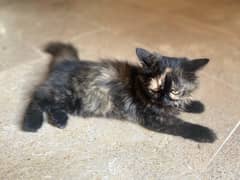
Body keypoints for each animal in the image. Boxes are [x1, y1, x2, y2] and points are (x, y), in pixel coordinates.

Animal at [23, 41, 218, 143]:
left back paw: (60, 120)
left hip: (69, 101)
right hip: (65, 94)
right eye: (154, 89)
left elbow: (183, 104)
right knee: (36, 99)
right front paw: (206, 133)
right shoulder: (154, 118)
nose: (162, 100)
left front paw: (196, 105)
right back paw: (31, 123)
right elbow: (181, 125)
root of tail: (65, 62)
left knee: (50, 105)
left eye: (175, 91)